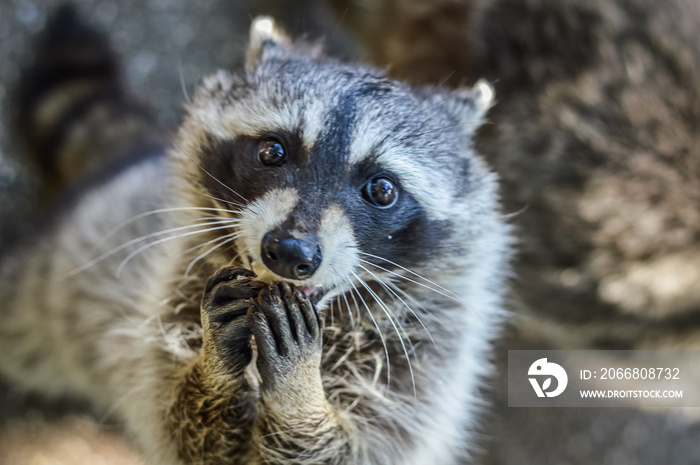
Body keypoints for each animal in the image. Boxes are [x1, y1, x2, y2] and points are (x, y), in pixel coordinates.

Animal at [1, 7, 516, 464]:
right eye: (273, 151)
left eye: (382, 189)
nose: (289, 251)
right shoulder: (168, 302)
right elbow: (183, 432)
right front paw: (212, 369)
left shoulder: (423, 368)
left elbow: (356, 450)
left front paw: (300, 397)